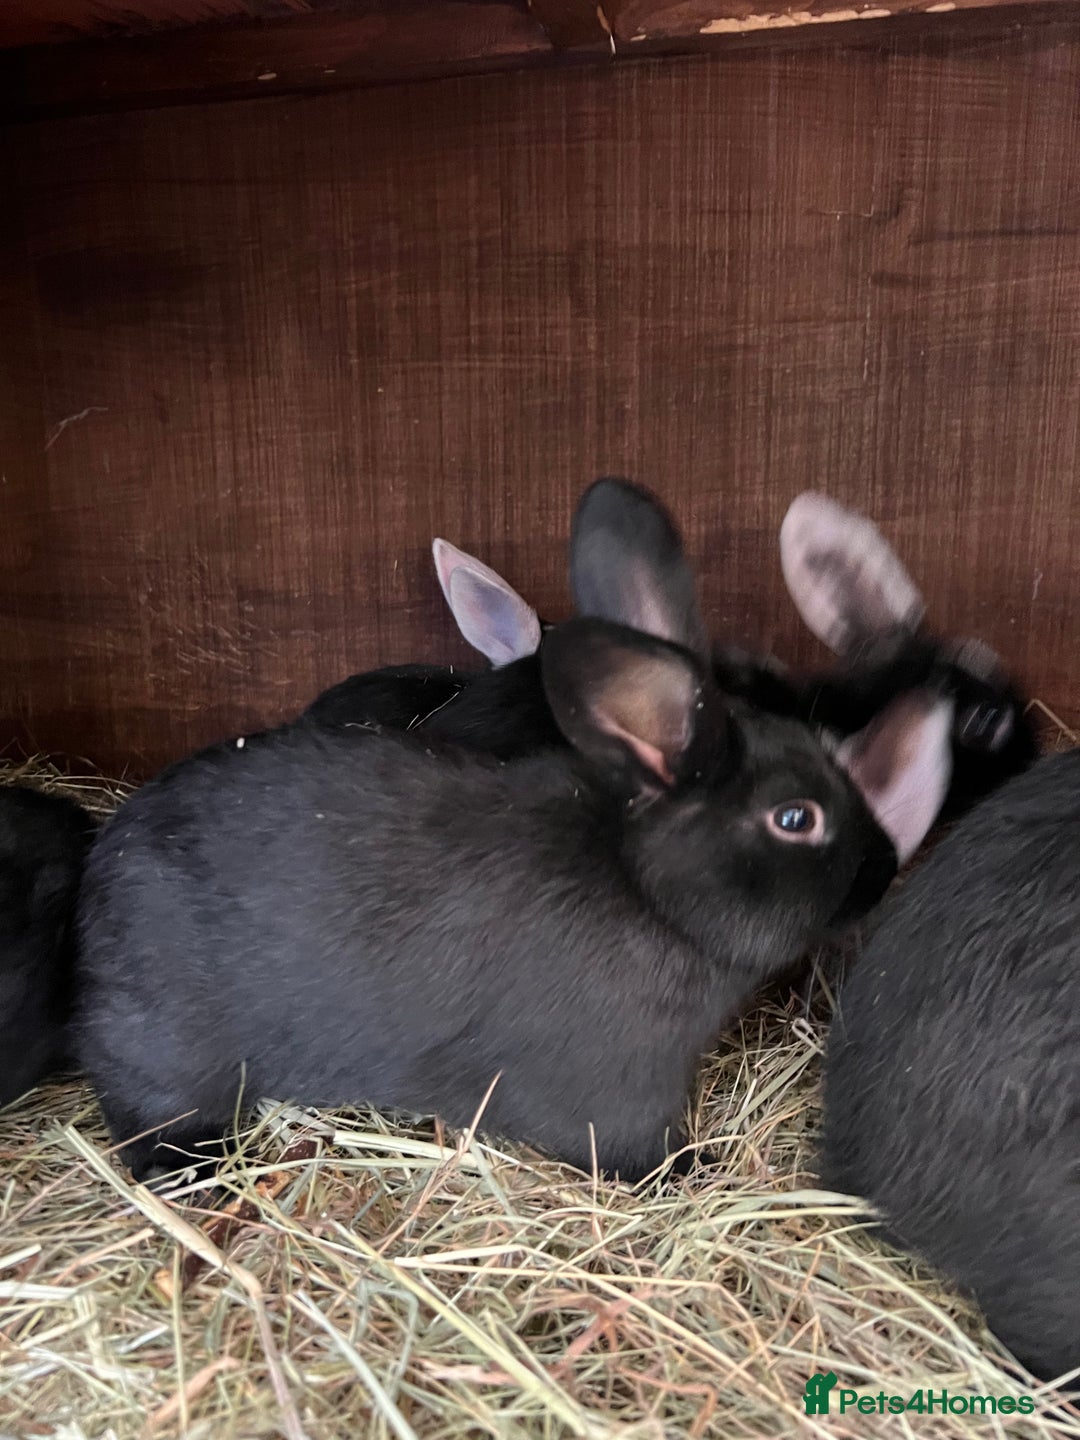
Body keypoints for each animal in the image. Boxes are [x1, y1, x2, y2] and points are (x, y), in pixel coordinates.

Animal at [74, 478, 954, 1186]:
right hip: (166, 1051)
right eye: (795, 818)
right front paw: (694, 1172)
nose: (885, 865)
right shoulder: (616, 1088)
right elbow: (631, 1148)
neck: (649, 892)